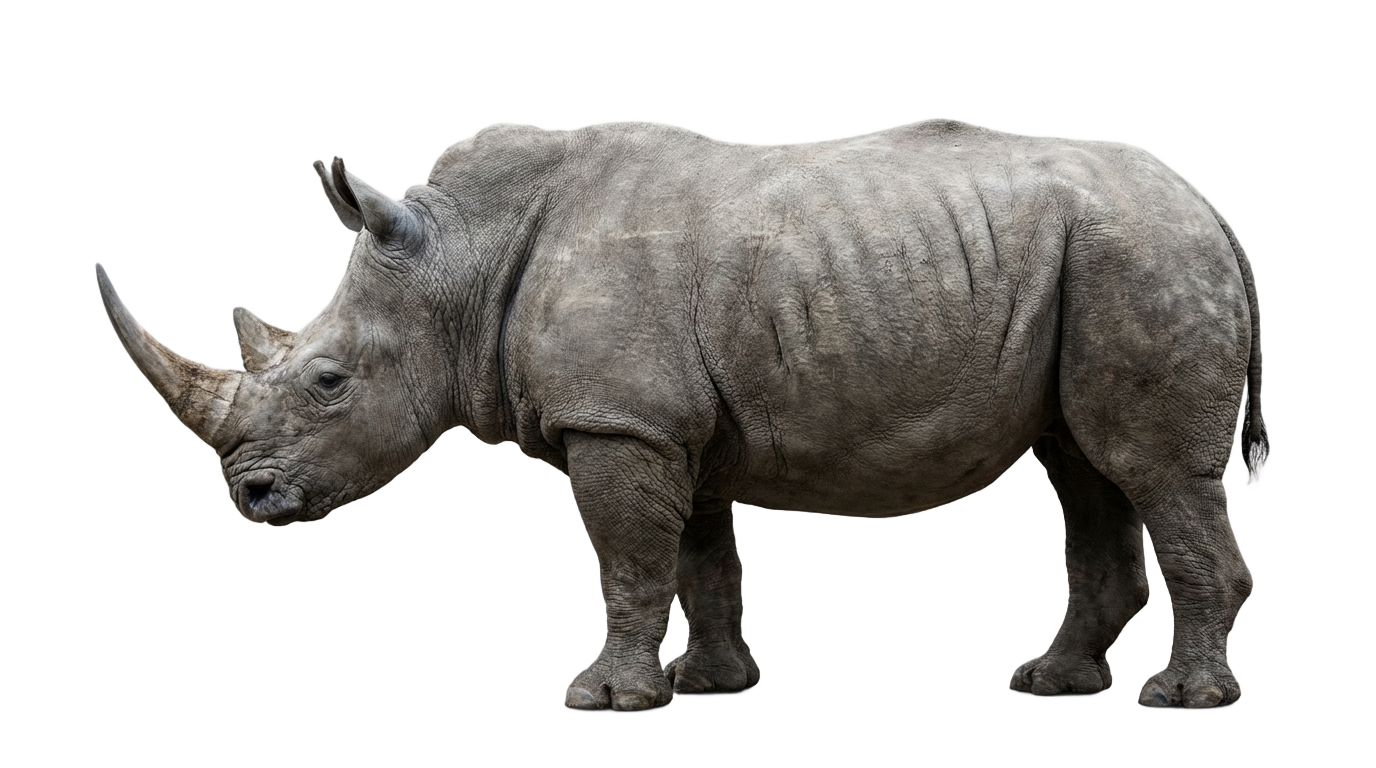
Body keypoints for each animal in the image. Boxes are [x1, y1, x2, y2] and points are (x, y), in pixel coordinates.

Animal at [97, 120, 1265, 710]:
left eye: (329, 382)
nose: (251, 496)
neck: (460, 262)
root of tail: (1208, 205)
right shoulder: (666, 421)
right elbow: (697, 554)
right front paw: (712, 686)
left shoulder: (617, 418)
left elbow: (626, 558)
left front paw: (607, 702)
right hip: (1110, 260)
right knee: (1084, 471)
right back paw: (1056, 686)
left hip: (1141, 256)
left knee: (1149, 471)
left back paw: (1186, 704)